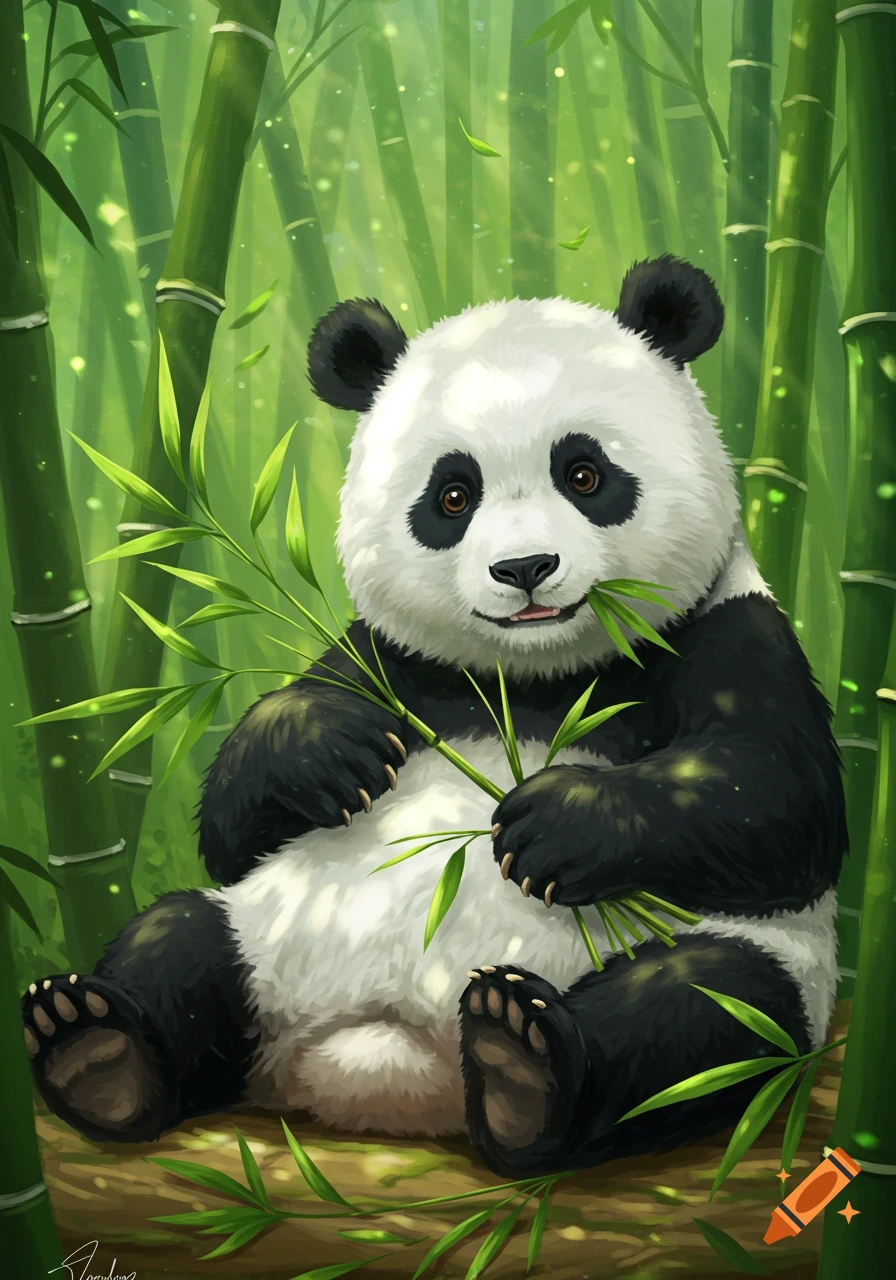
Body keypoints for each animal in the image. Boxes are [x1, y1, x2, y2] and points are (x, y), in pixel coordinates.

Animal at [22, 257, 846, 1179]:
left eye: (584, 474)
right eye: (453, 495)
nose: (525, 568)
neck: (535, 676)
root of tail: (391, 1065)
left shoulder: (725, 627)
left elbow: (776, 799)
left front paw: (552, 822)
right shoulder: (388, 660)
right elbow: (235, 821)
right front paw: (328, 752)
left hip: (747, 965)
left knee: (700, 1010)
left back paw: (523, 1067)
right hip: (261, 931)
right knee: (177, 938)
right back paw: (95, 1050)